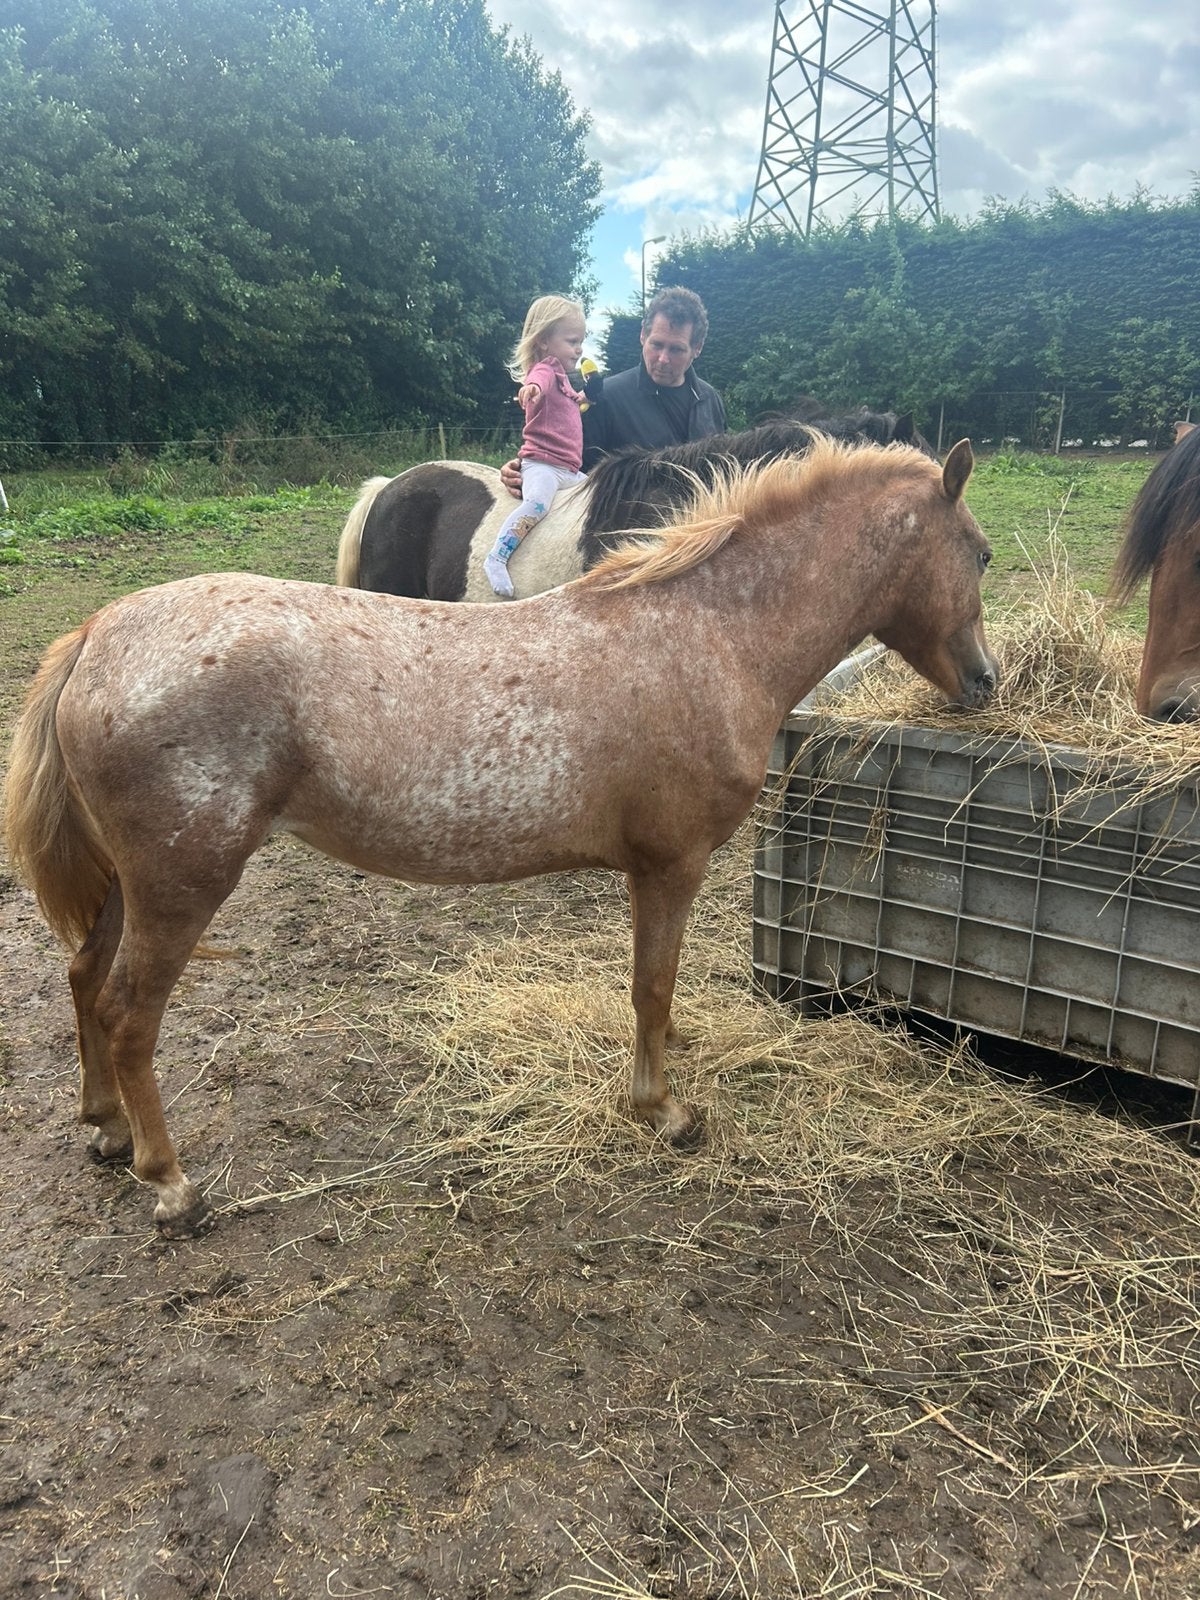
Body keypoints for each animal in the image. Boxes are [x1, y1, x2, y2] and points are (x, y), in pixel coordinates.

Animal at [5, 438, 996, 1239]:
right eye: (980, 553)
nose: (984, 682)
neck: (704, 634)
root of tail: (96, 635)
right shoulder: (669, 865)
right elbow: (651, 985)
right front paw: (661, 1109)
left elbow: (659, 989)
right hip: (180, 884)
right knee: (128, 1012)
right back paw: (171, 1183)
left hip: (132, 883)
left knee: (85, 978)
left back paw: (106, 1128)